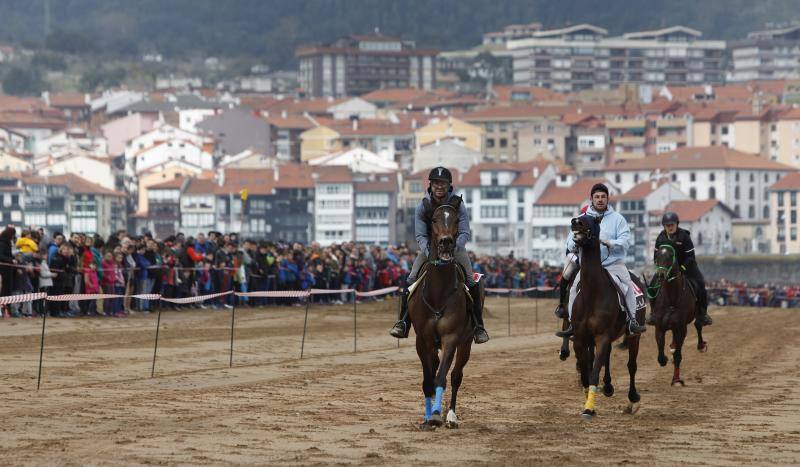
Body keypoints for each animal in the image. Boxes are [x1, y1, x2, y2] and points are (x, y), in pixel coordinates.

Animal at [410, 203, 478, 430]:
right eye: (433, 219)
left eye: (456, 219)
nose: (446, 242)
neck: (439, 293)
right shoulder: (422, 340)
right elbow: (428, 380)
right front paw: (426, 418)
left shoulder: (451, 338)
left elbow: (441, 378)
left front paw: (436, 415)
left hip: (466, 342)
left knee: (456, 376)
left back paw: (450, 416)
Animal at [568, 216, 644, 420]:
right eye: (580, 215)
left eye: (592, 220)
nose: (575, 221)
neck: (593, 293)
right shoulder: (580, 338)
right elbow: (586, 373)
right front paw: (589, 403)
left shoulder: (601, 336)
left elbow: (594, 373)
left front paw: (588, 408)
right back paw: (609, 387)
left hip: (634, 335)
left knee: (632, 365)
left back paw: (632, 399)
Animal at [648, 245, 708, 388]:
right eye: (658, 255)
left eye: (671, 256)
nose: (660, 275)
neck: (671, 298)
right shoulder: (660, 327)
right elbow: (660, 354)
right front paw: (664, 358)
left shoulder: (681, 328)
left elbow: (678, 356)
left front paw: (676, 380)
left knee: (698, 325)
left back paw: (700, 345)